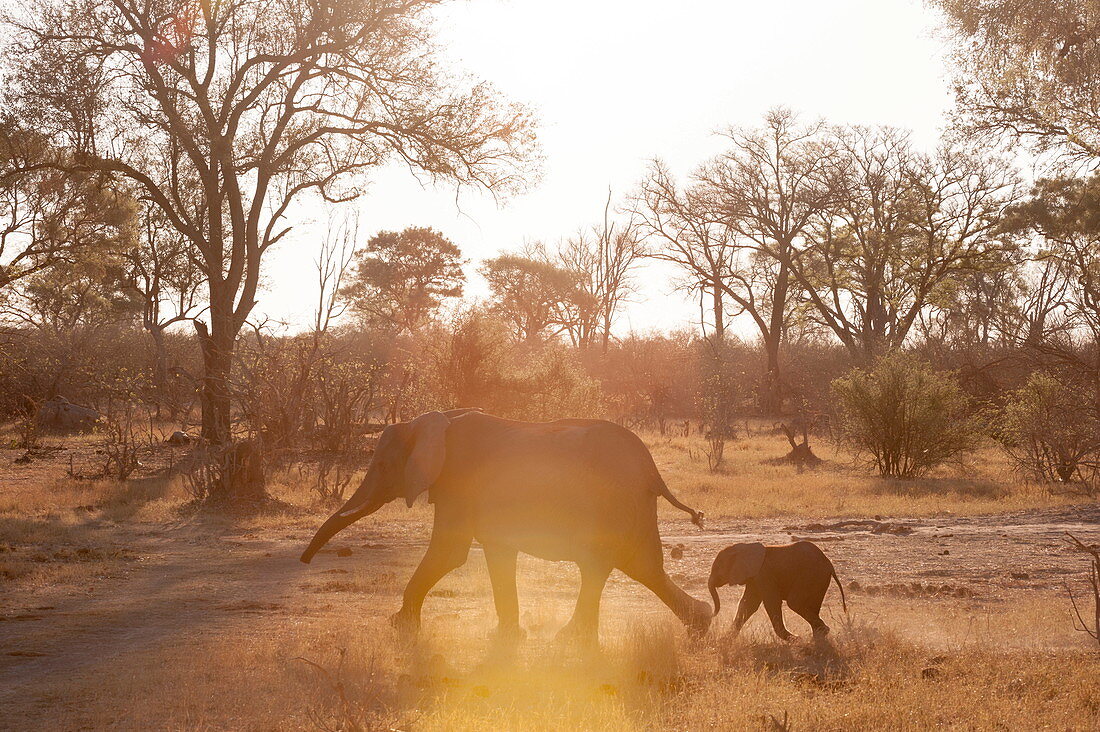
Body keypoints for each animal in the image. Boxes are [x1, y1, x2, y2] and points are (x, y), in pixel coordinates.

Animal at [301, 407, 712, 642]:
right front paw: (507, 636)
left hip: (611, 504)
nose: (304, 561)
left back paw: (569, 639)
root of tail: (653, 471)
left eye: (384, 465)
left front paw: (399, 627)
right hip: (629, 508)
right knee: (642, 567)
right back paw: (700, 624)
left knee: (605, 566)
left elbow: (449, 553)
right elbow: (497, 552)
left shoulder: (459, 483)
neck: (432, 421)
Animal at [708, 537, 844, 638]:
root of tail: (829, 564)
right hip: (819, 579)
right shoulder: (755, 577)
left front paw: (795, 639)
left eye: (717, 568)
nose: (711, 613)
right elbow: (748, 604)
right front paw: (725, 639)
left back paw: (822, 632)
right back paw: (820, 635)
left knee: (794, 602)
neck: (744, 547)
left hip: (811, 575)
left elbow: (771, 602)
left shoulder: (763, 574)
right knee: (812, 604)